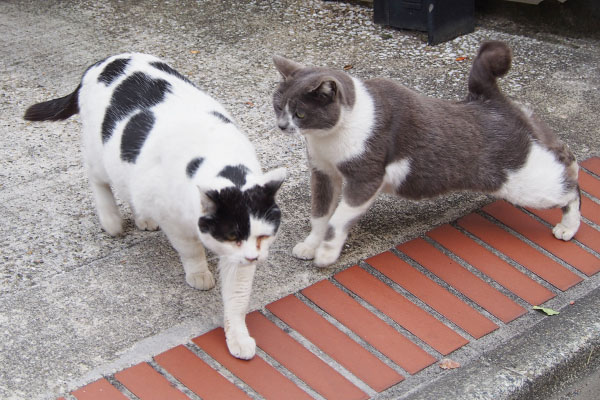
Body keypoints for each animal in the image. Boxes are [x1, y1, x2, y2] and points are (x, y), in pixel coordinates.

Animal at [23, 53, 286, 360]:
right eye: (232, 235)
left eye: (263, 236)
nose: (254, 258)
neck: (218, 160)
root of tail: (104, 61)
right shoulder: (176, 222)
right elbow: (191, 250)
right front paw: (198, 273)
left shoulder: (241, 257)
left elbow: (237, 297)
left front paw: (238, 337)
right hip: (100, 155)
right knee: (97, 178)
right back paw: (111, 220)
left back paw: (143, 218)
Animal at [274, 40, 580, 268]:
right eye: (277, 106)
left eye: (300, 113)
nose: (281, 125)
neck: (327, 138)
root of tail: (488, 101)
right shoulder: (323, 172)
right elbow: (320, 214)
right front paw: (310, 245)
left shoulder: (365, 179)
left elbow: (337, 220)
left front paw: (326, 254)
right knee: (562, 151)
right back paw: (573, 167)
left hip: (524, 182)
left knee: (569, 190)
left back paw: (568, 226)